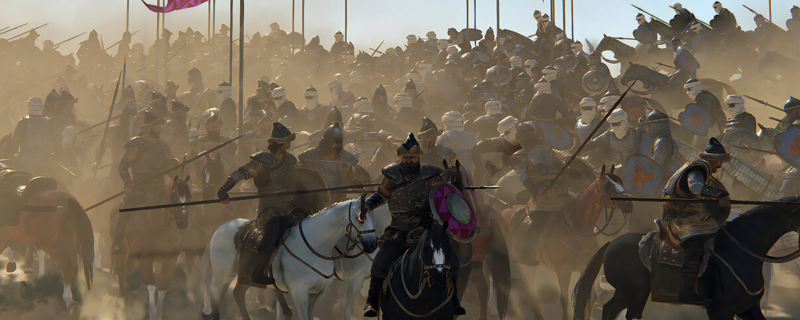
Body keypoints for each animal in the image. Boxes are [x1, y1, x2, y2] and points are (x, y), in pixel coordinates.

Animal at [0, 176, 94, 316]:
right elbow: (37, 252)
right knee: (74, 266)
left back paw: (68, 299)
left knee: (67, 265)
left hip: (54, 245)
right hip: (68, 243)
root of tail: (67, 201)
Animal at [112, 175, 192, 320]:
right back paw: (121, 301)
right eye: (173, 196)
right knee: (121, 272)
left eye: (189, 196)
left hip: (131, 255)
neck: (157, 225)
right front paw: (152, 313)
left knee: (127, 274)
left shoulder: (170, 260)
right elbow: (151, 285)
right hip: (121, 252)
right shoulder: (146, 258)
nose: (183, 222)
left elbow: (162, 287)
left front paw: (158, 314)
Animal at [202, 199, 382, 318]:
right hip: (222, 276)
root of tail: (223, 227)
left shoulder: (318, 292)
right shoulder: (300, 291)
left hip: (245, 276)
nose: (372, 244)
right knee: (216, 300)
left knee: (238, 293)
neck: (315, 245)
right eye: (360, 218)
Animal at [512, 165, 632, 320]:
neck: (577, 227)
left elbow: (588, 297)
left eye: (621, 183)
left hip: (533, 265)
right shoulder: (563, 271)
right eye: (608, 186)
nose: (629, 204)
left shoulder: (586, 267)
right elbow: (564, 300)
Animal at [576, 195, 800, 320]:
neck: (741, 250)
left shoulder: (748, 308)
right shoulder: (720, 310)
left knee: (611, 310)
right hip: (633, 292)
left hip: (629, 293)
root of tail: (610, 244)